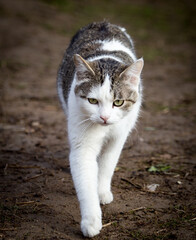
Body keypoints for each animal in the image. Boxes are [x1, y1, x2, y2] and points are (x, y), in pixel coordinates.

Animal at [57, 21, 144, 238]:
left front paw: (102, 191)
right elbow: (86, 182)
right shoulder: (82, 144)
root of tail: (103, 23)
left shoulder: (118, 137)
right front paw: (91, 221)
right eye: (92, 101)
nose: (104, 117)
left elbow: (107, 164)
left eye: (118, 102)